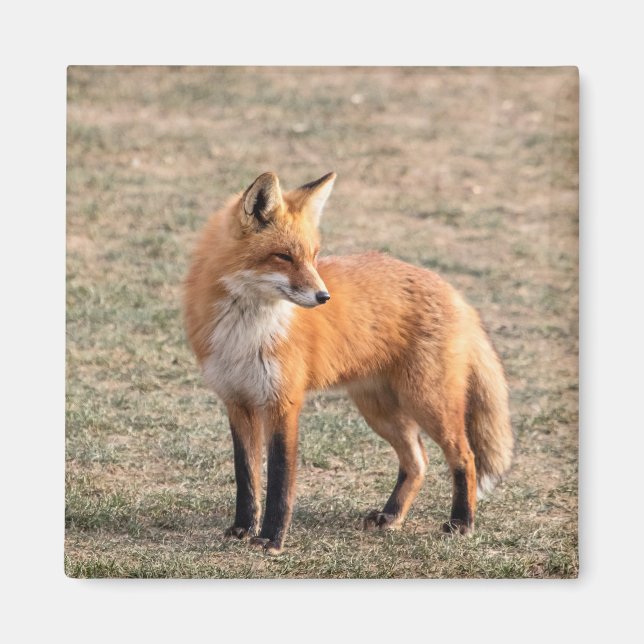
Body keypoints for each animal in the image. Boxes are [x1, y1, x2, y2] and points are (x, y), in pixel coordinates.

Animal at [183, 171, 513, 555]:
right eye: (283, 256)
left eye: (314, 256)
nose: (323, 296)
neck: (246, 330)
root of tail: (454, 292)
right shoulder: (237, 402)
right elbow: (246, 475)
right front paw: (242, 528)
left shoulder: (284, 403)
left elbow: (280, 478)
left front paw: (272, 538)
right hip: (379, 410)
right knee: (418, 461)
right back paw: (391, 516)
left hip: (428, 402)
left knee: (465, 457)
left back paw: (461, 522)